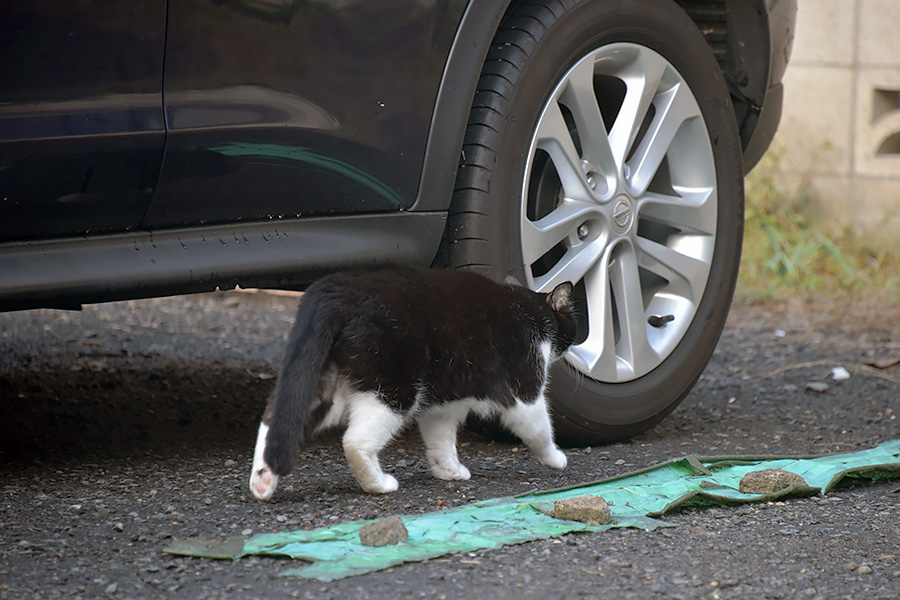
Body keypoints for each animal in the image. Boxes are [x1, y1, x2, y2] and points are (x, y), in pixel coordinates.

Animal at [250, 264, 576, 500]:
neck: (530, 311)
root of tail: (332, 291)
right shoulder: (524, 387)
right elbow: (538, 426)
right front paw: (555, 458)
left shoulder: (444, 402)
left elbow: (440, 436)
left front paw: (449, 470)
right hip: (393, 387)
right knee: (355, 441)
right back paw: (378, 484)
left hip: (324, 382)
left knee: (278, 419)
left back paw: (262, 481)